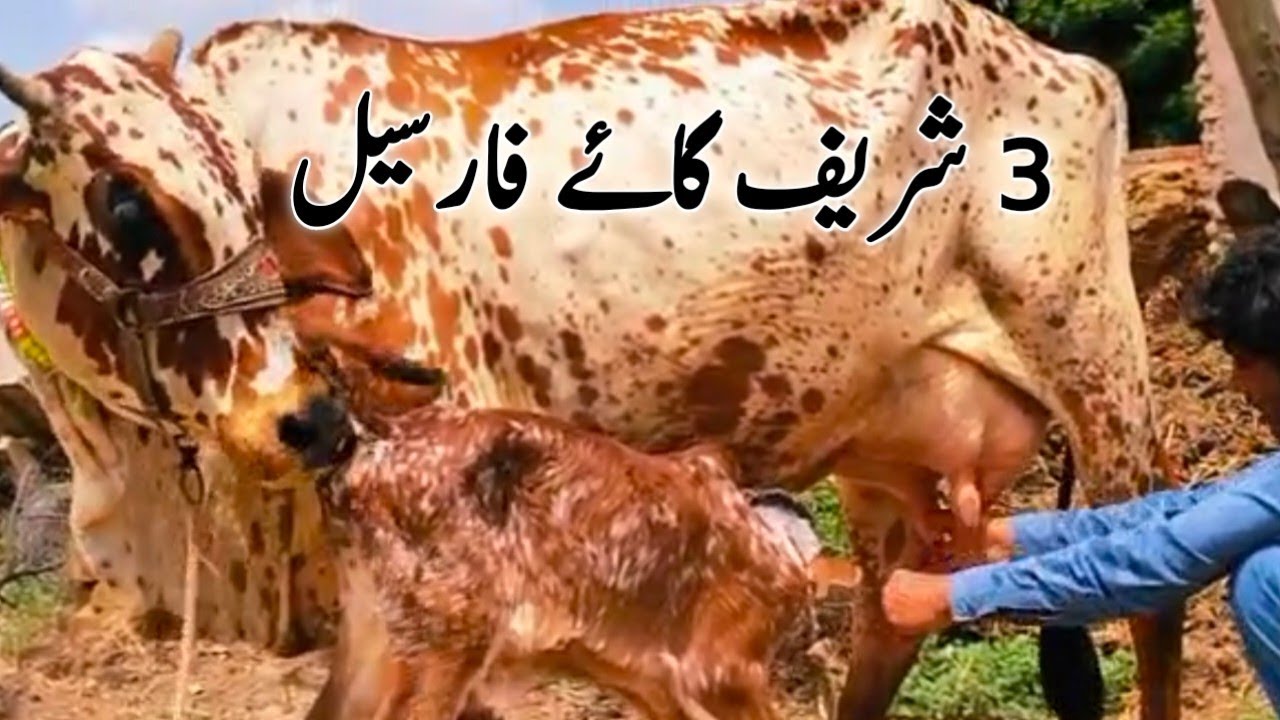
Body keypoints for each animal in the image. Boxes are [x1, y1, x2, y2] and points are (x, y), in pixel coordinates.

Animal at [0, 1, 1184, 718]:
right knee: (891, 617)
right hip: (890, 453)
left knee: (1150, 584)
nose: (311, 422)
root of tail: (1062, 57)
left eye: (232, 180)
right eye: (125, 199)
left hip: (1096, 363)